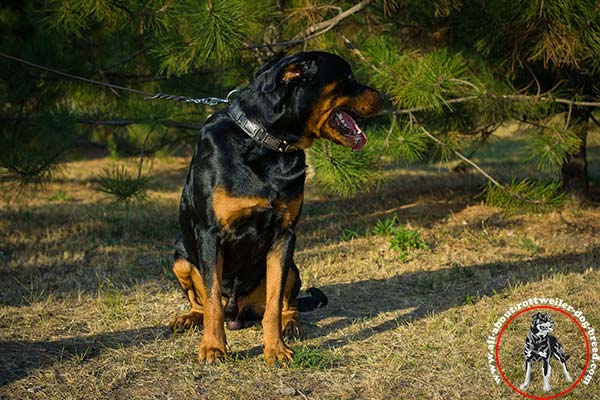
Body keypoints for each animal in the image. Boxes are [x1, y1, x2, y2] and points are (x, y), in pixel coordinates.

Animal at [169, 51, 384, 364]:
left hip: (293, 265)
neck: (266, 144)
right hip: (180, 259)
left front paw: (276, 349)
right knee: (202, 303)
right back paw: (188, 319)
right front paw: (213, 347)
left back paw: (291, 324)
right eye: (346, 76)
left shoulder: (284, 235)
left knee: (288, 303)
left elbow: (273, 303)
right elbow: (212, 300)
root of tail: (238, 314)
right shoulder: (209, 233)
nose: (383, 96)